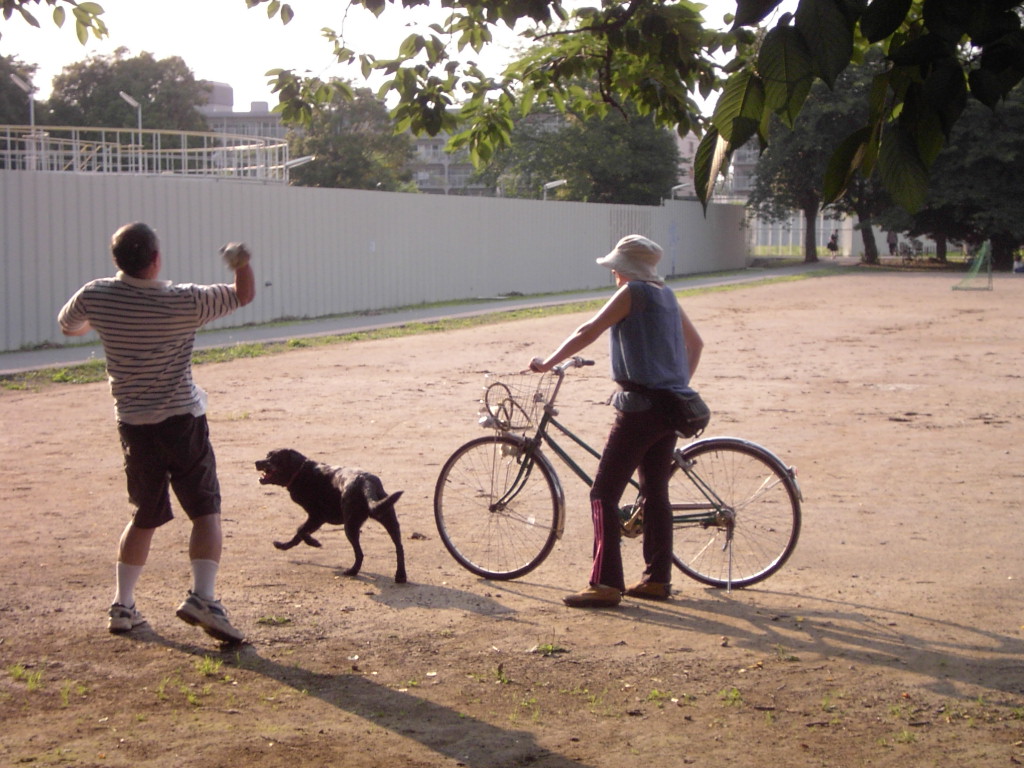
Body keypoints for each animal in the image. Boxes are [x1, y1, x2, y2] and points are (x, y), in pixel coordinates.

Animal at [256, 450, 407, 581]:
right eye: (267, 455)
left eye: (274, 458)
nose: (256, 462)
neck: (301, 471)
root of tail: (366, 482)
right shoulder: (316, 519)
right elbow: (298, 535)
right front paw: (284, 546)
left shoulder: (317, 517)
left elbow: (300, 530)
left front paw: (313, 542)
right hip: (390, 520)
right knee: (399, 548)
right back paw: (400, 576)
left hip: (350, 527)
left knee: (359, 553)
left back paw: (352, 571)